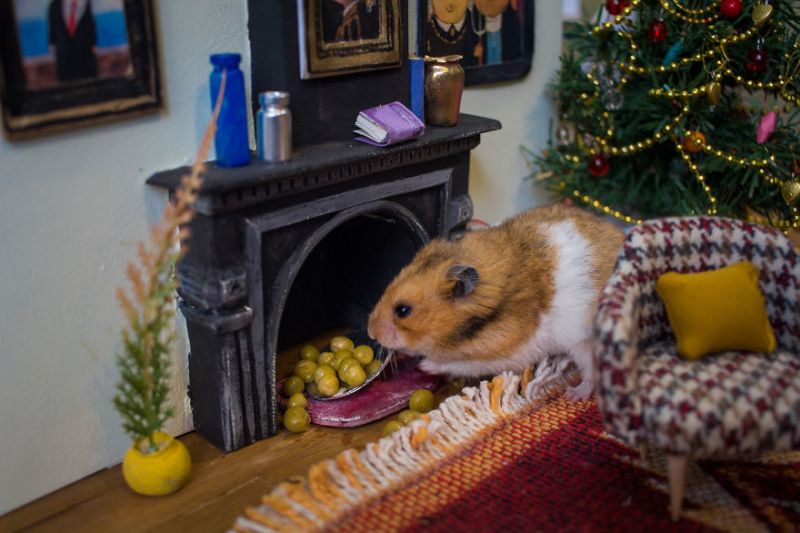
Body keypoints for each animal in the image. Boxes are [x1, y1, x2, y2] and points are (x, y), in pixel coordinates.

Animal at [368, 203, 624, 400]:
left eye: (403, 310)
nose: (371, 333)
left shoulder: (502, 352)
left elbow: (458, 363)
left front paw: (425, 365)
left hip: (586, 343)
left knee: (592, 374)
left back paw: (573, 395)